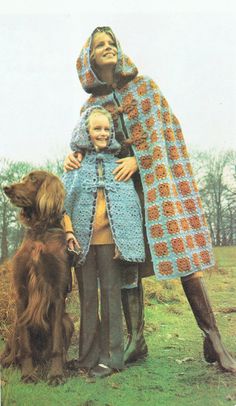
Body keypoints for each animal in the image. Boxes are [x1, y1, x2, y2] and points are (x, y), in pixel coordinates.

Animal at [0, 170, 74, 386]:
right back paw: (9, 362)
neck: (41, 230)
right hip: (15, 324)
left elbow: (57, 343)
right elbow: (25, 346)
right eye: (24, 177)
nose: (6, 188)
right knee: (13, 352)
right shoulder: (22, 293)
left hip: (69, 321)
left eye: (33, 179)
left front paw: (56, 374)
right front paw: (27, 374)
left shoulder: (57, 292)